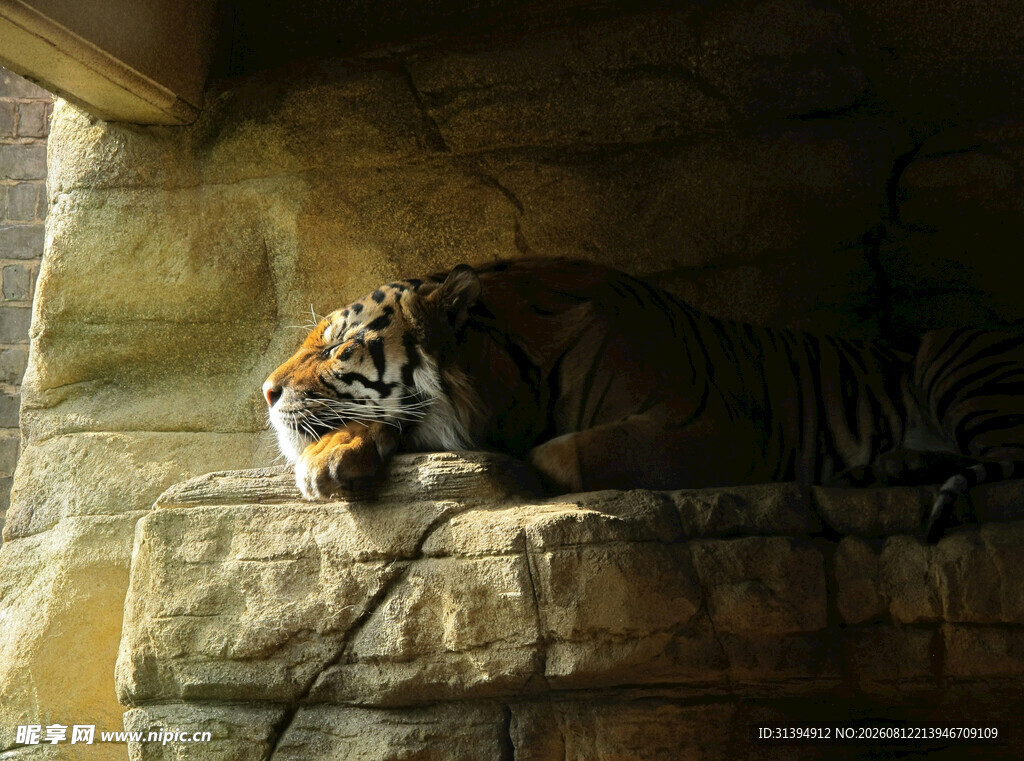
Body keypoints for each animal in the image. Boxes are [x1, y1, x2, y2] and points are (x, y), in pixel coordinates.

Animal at [262, 258, 1024, 542]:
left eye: (337, 346)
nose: (265, 391)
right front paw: (331, 457)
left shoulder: (719, 428)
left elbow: (561, 454)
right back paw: (892, 466)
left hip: (950, 355)